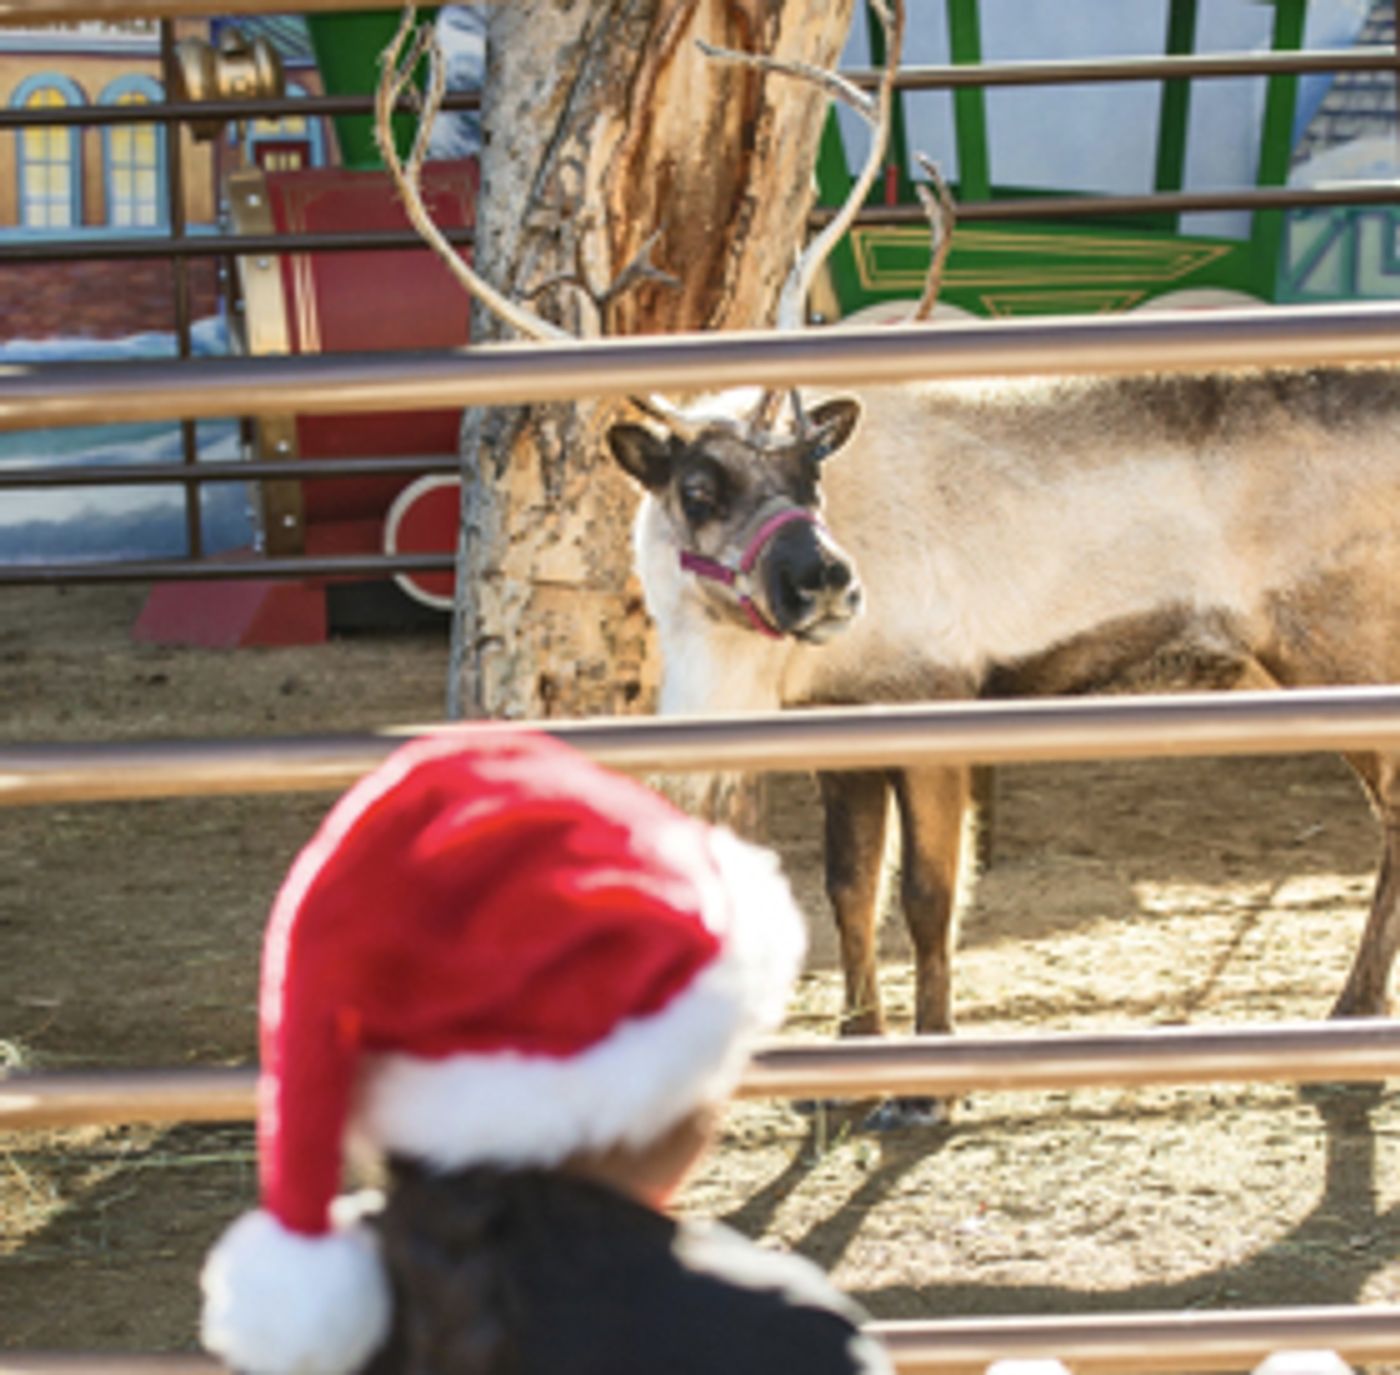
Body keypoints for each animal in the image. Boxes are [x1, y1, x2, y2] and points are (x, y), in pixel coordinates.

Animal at [380, 2, 1400, 1126]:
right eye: (698, 485)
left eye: (807, 470)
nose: (826, 580)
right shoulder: (841, 737)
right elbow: (843, 888)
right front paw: (849, 1059)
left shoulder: (934, 706)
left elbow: (925, 895)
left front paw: (925, 1084)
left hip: (1340, 652)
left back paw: (1348, 1028)